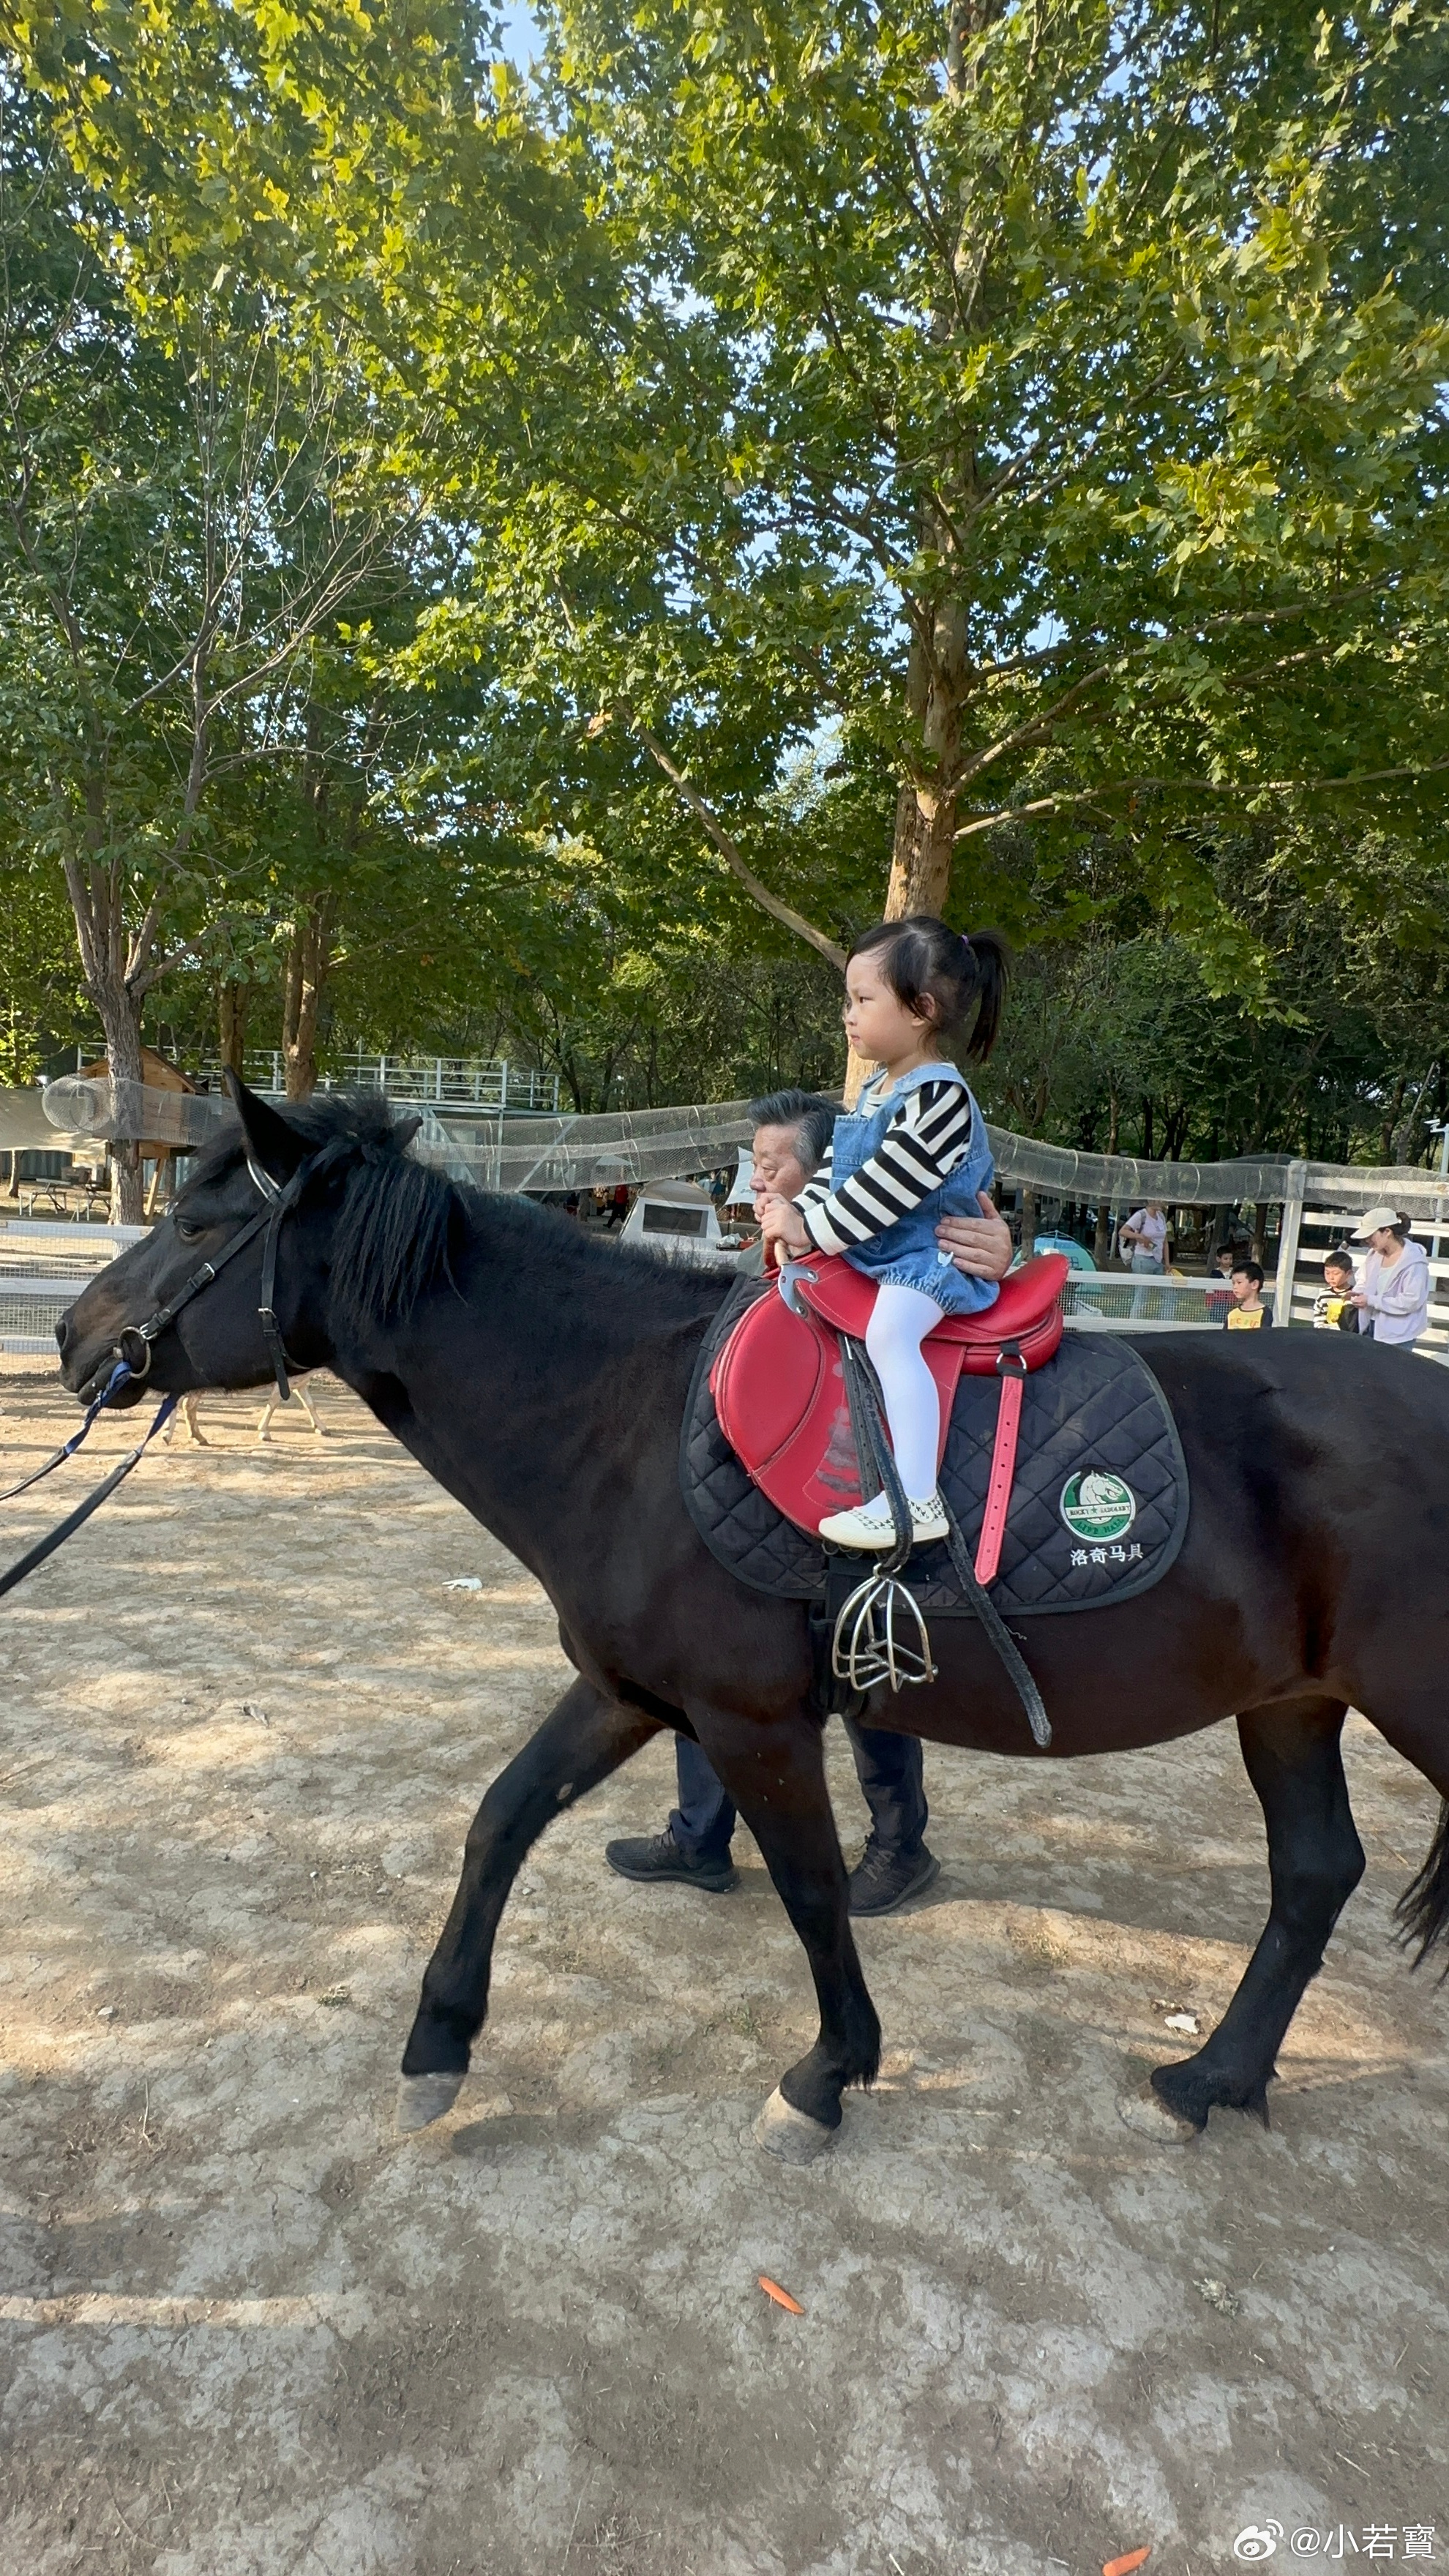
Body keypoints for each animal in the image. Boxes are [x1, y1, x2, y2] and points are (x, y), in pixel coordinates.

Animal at [53, 1082, 1443, 2153]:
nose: (73, 1335)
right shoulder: (629, 1694)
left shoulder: (753, 1721)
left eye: (194, 1221)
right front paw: (436, 2047)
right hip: (1291, 1707)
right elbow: (502, 1820)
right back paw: (1216, 2079)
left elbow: (813, 1889)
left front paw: (827, 2076)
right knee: (1317, 1874)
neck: (623, 1416)